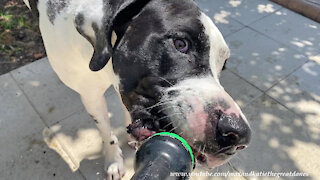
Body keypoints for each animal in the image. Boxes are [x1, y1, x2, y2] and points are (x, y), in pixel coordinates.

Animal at [23, 0, 251, 179]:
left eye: (223, 66)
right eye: (180, 43)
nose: (239, 135)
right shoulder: (90, 95)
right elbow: (105, 130)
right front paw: (114, 161)